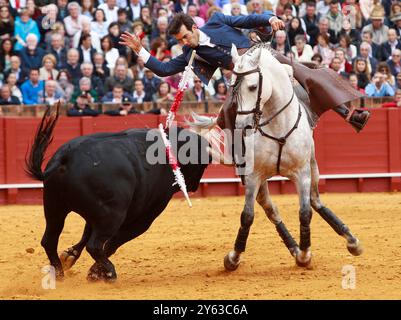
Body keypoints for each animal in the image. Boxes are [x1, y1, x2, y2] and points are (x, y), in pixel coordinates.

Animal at [26, 106, 208, 282]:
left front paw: (70, 256)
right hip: (112, 216)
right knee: (95, 245)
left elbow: (87, 234)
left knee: (50, 240)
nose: (195, 185)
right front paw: (94, 272)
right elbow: (113, 242)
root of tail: (66, 158)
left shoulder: (96, 215)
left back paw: (59, 273)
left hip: (54, 207)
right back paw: (109, 273)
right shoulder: (143, 219)